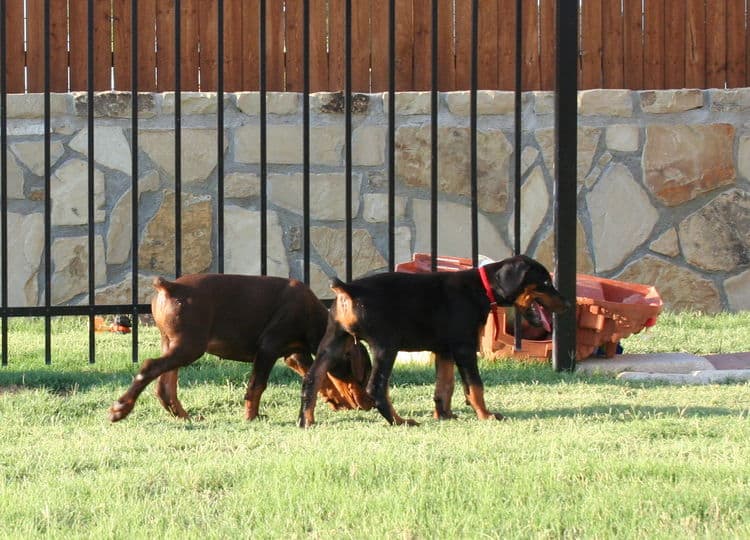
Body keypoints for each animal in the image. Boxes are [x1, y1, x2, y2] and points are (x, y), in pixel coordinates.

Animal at [108, 274, 374, 422]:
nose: (370, 404)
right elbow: (257, 385)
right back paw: (120, 409)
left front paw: (335, 400)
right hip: (190, 345)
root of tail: (169, 286)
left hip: (174, 343)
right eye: (362, 377)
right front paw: (251, 417)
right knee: (149, 367)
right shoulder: (268, 348)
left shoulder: (295, 354)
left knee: (165, 386)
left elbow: (323, 379)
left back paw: (184, 416)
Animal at [300, 255, 568, 428]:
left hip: (333, 343)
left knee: (312, 379)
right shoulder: (464, 347)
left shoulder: (444, 350)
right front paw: (485, 415)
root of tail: (348, 289)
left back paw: (306, 421)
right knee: (376, 388)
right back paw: (399, 421)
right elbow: (475, 386)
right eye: (546, 282)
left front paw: (444, 415)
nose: (567, 305)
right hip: (386, 346)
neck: (481, 287)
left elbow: (445, 385)